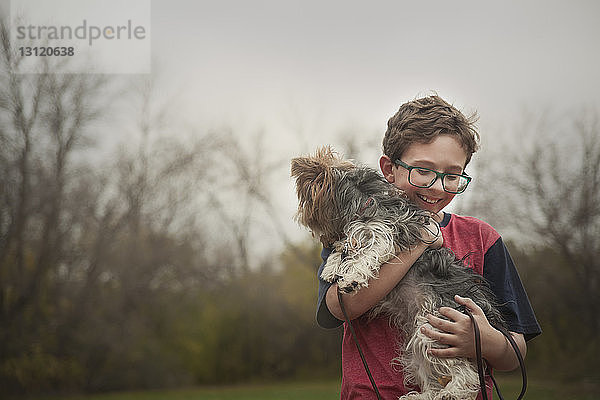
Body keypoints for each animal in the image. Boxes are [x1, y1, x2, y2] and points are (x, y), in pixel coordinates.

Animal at [290, 147, 502, 400]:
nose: (300, 216)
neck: (366, 202)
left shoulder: (387, 233)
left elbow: (367, 254)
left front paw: (351, 277)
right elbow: (344, 245)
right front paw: (332, 268)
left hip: (439, 327)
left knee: (467, 373)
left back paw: (450, 393)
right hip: (419, 339)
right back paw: (422, 396)